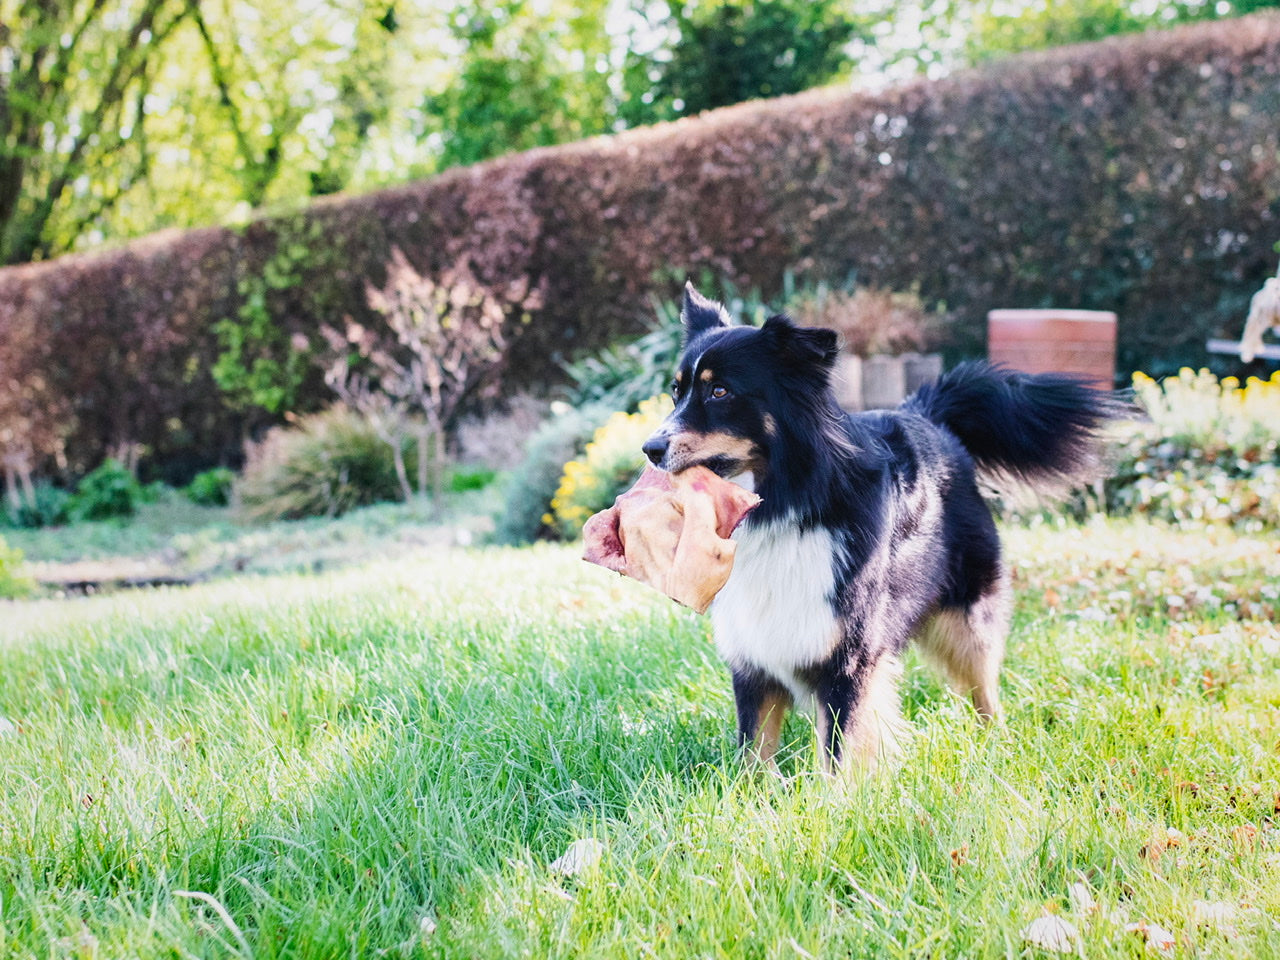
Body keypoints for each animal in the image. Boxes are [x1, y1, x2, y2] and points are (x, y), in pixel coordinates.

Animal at [640, 284, 1121, 773]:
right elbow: (754, 749)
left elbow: (836, 751)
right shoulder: (753, 656)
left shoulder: (847, 656)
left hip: (968, 612)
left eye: (720, 391)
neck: (787, 501)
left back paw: (995, 744)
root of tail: (926, 413)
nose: (649, 449)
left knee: (983, 686)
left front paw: (835, 793)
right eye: (676, 393)